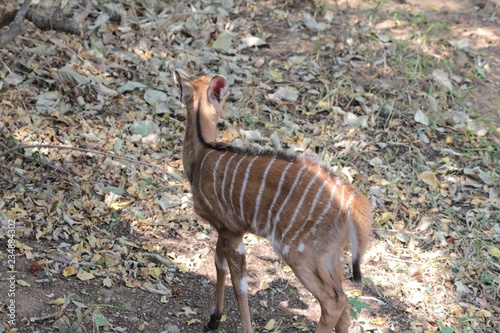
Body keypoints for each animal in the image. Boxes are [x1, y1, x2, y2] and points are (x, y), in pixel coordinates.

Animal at [174, 70, 374, 332]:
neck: (201, 155)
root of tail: (352, 201)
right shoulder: (224, 228)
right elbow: (219, 264)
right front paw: (213, 319)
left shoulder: (232, 231)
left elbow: (240, 283)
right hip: (331, 254)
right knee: (344, 300)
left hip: (297, 251)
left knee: (333, 300)